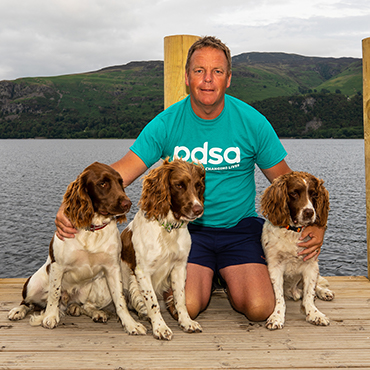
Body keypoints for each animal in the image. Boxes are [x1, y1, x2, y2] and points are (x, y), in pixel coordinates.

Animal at [7, 162, 146, 336]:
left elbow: (120, 301)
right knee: (28, 302)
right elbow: (54, 294)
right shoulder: (58, 266)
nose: (128, 203)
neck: (91, 229)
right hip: (33, 284)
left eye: (120, 182)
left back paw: (89, 311)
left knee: (85, 304)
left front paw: (130, 324)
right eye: (102, 183)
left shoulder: (113, 268)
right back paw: (18, 311)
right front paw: (50, 317)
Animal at [121, 158, 207, 340]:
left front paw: (186, 322)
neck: (168, 228)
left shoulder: (180, 267)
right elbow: (153, 303)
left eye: (198, 185)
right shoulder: (142, 272)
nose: (199, 209)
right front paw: (160, 327)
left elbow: (180, 298)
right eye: (179, 185)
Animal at [258, 172, 334, 330]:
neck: (293, 232)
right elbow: (279, 296)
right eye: (293, 193)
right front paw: (277, 316)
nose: (309, 212)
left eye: (314, 194)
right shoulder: (275, 266)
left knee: (314, 286)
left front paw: (314, 314)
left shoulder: (311, 265)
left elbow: (309, 294)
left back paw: (324, 292)